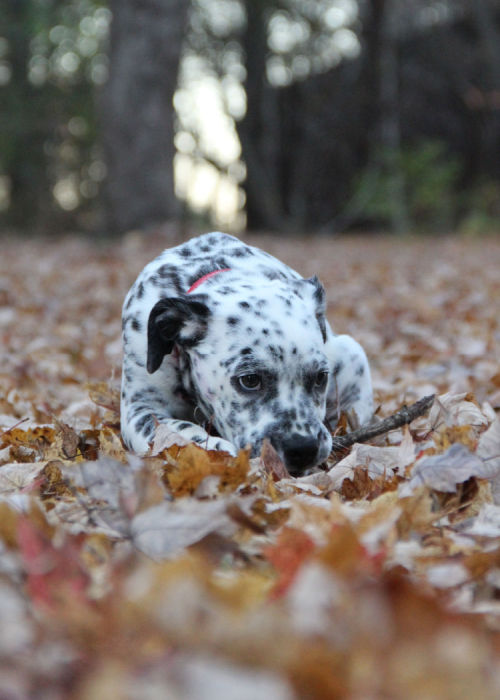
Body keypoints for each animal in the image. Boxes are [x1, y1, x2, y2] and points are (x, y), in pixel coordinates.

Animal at [120, 234, 372, 476]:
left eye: (321, 377)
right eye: (250, 380)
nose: (303, 449)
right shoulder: (139, 407)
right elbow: (180, 431)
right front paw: (215, 448)